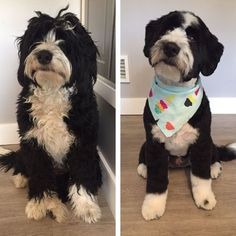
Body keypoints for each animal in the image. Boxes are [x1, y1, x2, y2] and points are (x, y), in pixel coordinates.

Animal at [0, 6, 102, 223]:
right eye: (37, 38)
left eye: (64, 40)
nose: (44, 55)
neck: (52, 91)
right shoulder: (34, 142)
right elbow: (39, 175)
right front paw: (39, 203)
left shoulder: (83, 143)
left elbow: (82, 174)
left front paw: (86, 207)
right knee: (23, 163)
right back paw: (21, 177)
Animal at [137, 10, 236, 221]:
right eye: (166, 29)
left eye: (192, 38)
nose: (170, 47)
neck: (175, 94)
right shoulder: (154, 142)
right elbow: (157, 178)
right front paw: (153, 205)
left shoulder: (201, 141)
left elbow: (200, 176)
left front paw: (205, 198)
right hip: (146, 143)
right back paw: (143, 168)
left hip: (209, 141)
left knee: (214, 155)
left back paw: (214, 167)